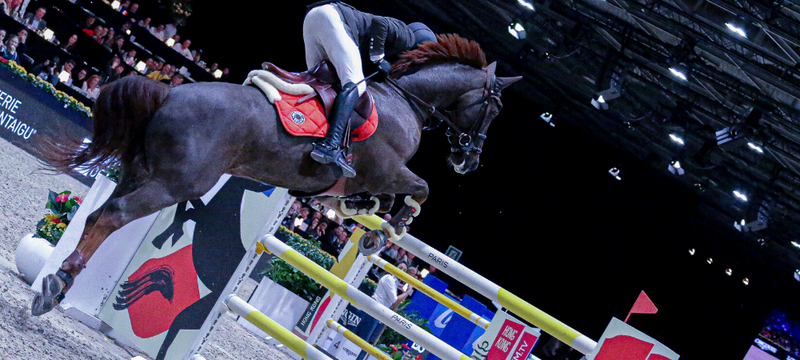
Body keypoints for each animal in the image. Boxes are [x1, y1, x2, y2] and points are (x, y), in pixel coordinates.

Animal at [31, 33, 520, 316]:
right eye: (495, 108)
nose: (469, 162)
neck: (405, 101)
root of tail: (168, 95)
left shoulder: (375, 179)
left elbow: (373, 200)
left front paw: (356, 210)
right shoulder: (388, 170)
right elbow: (421, 189)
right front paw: (385, 233)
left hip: (140, 171)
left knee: (100, 214)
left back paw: (57, 280)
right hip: (175, 183)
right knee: (113, 216)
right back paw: (58, 283)